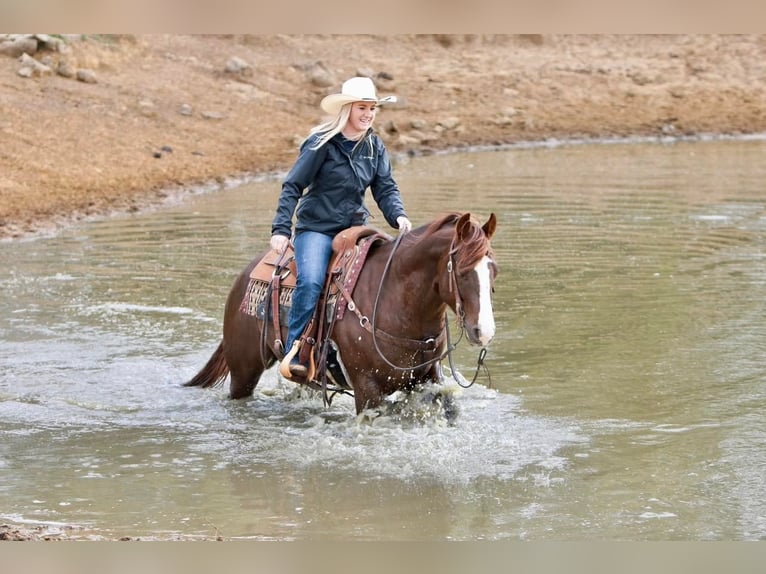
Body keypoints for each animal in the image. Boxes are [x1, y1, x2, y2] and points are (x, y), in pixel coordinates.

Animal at [183, 212, 500, 414]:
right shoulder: (367, 389)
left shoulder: (427, 380)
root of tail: (244, 276)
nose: (484, 331)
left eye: (493, 270)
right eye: (462, 272)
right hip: (244, 370)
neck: (395, 299)